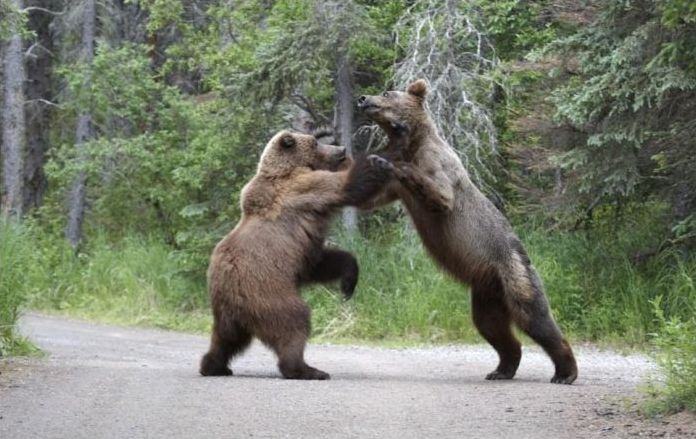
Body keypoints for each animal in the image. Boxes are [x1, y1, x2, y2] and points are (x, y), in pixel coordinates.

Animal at [198, 129, 400, 380]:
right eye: (315, 143)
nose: (341, 149)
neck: (285, 170)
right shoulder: (302, 189)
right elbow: (342, 187)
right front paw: (376, 162)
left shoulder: (302, 253)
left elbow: (324, 263)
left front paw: (348, 284)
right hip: (266, 292)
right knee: (294, 322)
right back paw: (307, 369)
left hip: (226, 313)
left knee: (225, 340)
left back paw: (214, 366)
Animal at [356, 80, 580, 384]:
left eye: (388, 92)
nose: (363, 98)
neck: (416, 143)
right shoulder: (394, 189)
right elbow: (367, 199)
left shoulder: (436, 164)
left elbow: (440, 194)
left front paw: (386, 161)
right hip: (488, 292)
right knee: (491, 326)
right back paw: (502, 369)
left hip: (513, 271)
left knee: (533, 315)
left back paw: (564, 372)